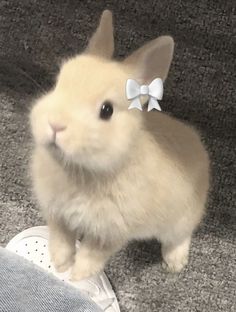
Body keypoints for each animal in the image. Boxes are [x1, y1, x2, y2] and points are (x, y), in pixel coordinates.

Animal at [30, 11, 210, 282]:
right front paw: (60, 264)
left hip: (179, 219)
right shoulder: (58, 215)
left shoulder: (111, 233)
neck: (81, 170)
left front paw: (78, 276)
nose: (55, 124)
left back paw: (175, 263)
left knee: (179, 237)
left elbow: (92, 255)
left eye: (107, 110)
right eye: (57, 84)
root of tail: (198, 144)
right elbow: (61, 239)